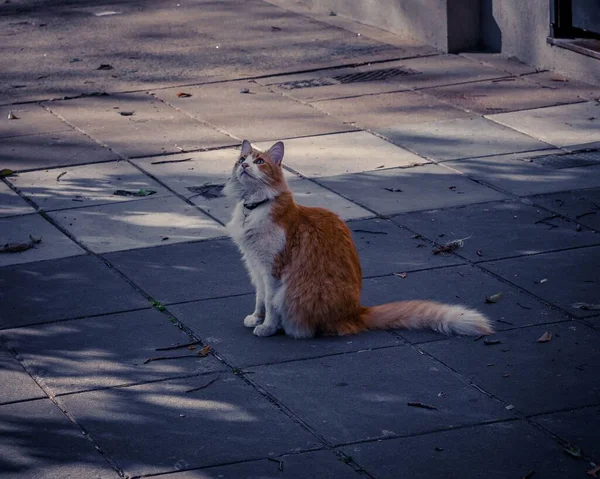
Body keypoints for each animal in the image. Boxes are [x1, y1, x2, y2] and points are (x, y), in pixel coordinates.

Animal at [223, 141, 494, 340]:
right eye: (241, 159)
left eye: (259, 162)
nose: (244, 165)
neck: (253, 207)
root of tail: (356, 312)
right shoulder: (255, 266)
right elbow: (259, 298)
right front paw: (256, 318)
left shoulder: (272, 269)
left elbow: (270, 303)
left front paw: (267, 327)